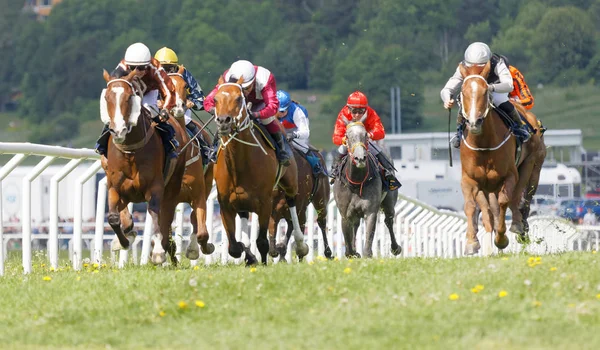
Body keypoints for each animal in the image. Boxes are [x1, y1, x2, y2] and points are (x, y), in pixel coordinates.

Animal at [100, 69, 188, 266]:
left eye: (128, 97)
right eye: (107, 97)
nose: (118, 131)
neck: (130, 150)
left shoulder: (155, 187)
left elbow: (155, 214)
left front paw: (158, 252)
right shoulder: (114, 186)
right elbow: (113, 217)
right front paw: (124, 241)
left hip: (173, 184)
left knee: (166, 212)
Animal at [213, 76, 310, 266]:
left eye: (239, 99)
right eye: (215, 99)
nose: (223, 121)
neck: (239, 164)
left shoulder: (265, 203)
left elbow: (262, 241)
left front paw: (263, 261)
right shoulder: (225, 204)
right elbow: (235, 246)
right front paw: (249, 256)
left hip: (290, 184)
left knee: (292, 204)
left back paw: (301, 245)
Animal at [332, 121, 404, 258]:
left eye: (365, 134)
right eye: (347, 136)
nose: (360, 158)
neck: (356, 183)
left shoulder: (370, 210)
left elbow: (369, 239)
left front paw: (366, 254)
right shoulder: (345, 213)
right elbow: (348, 243)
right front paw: (353, 252)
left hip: (389, 201)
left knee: (389, 220)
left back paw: (395, 248)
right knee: (355, 225)